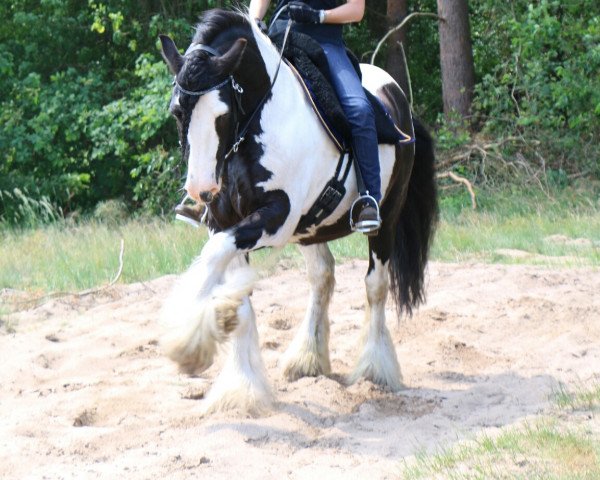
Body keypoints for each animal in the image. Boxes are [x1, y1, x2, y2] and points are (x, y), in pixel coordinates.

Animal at [158, 7, 440, 414]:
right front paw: (241, 386)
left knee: (376, 286)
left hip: (384, 220)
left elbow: (212, 256)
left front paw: (188, 342)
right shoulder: (227, 222)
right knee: (322, 277)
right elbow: (235, 288)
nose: (201, 189)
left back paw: (374, 370)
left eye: (222, 113)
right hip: (312, 229)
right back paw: (308, 359)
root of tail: (398, 101)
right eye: (178, 111)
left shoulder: (276, 218)